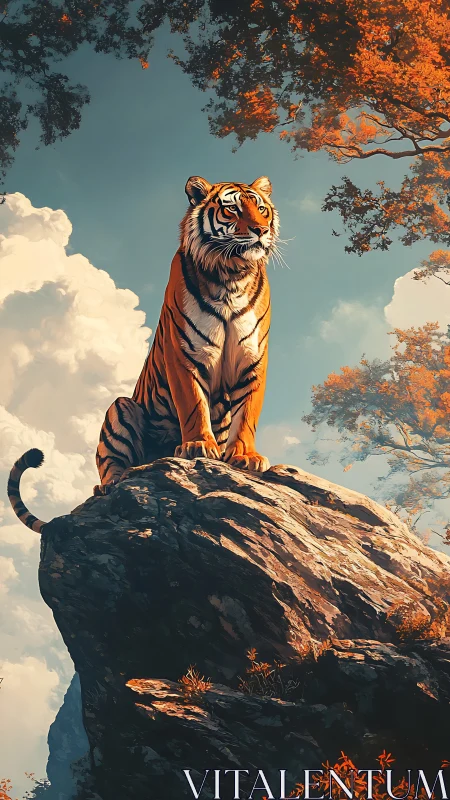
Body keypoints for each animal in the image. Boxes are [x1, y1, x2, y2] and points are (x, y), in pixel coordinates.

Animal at [7, 175, 278, 530]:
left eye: (261, 209)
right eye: (232, 209)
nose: (261, 230)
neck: (231, 275)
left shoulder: (252, 358)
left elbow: (247, 412)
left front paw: (246, 456)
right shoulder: (184, 353)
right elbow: (194, 404)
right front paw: (199, 445)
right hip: (120, 410)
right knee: (113, 467)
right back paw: (109, 483)